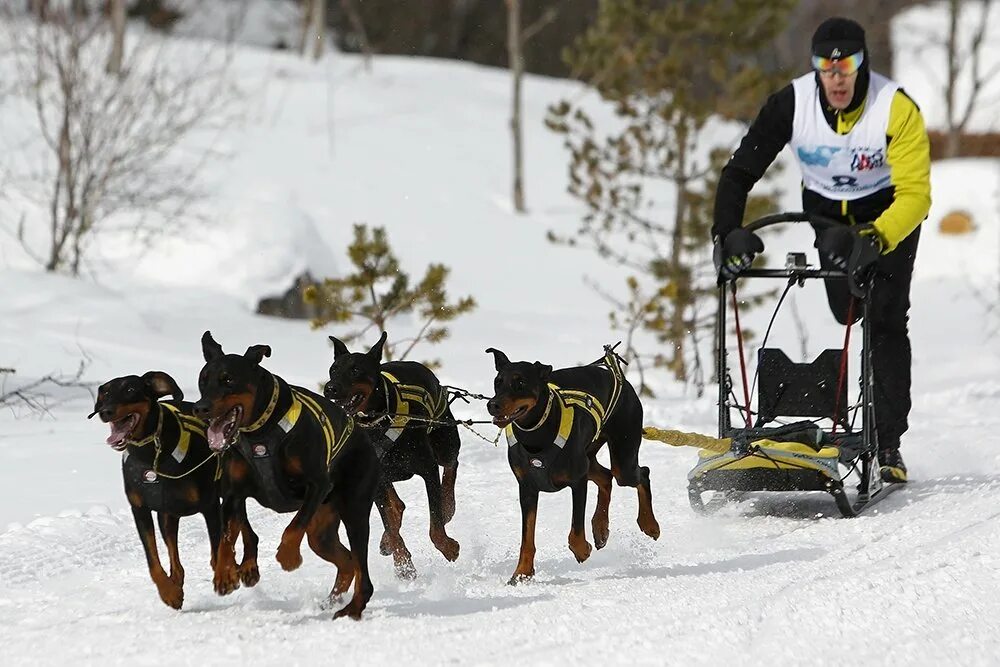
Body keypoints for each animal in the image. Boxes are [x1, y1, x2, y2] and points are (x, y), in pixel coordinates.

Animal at [90, 370, 260, 612]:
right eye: (105, 393)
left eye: (130, 389)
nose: (106, 411)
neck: (151, 453)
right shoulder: (140, 509)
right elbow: (152, 559)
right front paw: (169, 592)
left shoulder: (210, 506)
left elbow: (218, 548)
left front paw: (226, 576)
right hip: (168, 514)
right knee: (175, 555)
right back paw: (178, 582)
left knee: (244, 531)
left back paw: (246, 568)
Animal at [193, 332, 380, 620]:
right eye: (203, 380)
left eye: (228, 379)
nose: (200, 407)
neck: (260, 431)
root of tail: (361, 432)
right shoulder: (233, 494)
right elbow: (227, 537)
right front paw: (225, 575)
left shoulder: (317, 484)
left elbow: (293, 527)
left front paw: (289, 557)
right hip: (321, 532)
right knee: (348, 561)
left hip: (354, 511)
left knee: (364, 574)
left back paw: (353, 608)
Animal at [326, 332, 462, 580]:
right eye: (333, 369)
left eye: (355, 370)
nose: (329, 388)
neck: (378, 422)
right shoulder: (377, 480)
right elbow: (388, 520)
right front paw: (403, 564)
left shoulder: (428, 468)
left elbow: (435, 523)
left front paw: (448, 547)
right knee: (396, 507)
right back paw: (387, 541)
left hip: (444, 440)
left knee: (451, 465)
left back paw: (448, 505)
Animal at [486, 348, 660, 588]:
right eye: (497, 382)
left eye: (520, 382)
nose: (492, 404)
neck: (536, 434)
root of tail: (619, 377)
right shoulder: (527, 489)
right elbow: (527, 538)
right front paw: (522, 573)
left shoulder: (577, 481)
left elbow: (575, 530)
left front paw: (582, 550)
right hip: (589, 457)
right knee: (606, 477)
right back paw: (600, 528)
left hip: (622, 458)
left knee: (641, 473)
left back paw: (649, 524)